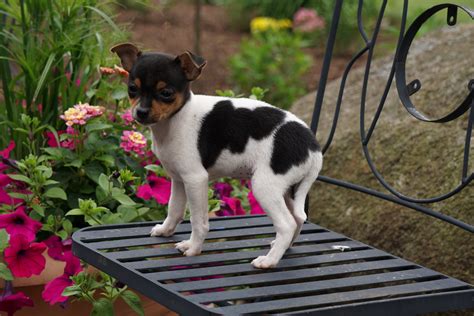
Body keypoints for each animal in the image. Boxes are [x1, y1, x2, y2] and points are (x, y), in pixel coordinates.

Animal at [112, 42, 322, 270]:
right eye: (132, 88)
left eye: (166, 92)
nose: (141, 112)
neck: (176, 119)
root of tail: (313, 146)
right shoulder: (179, 179)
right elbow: (174, 209)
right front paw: (166, 231)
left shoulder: (195, 180)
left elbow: (198, 221)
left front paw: (194, 248)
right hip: (288, 189)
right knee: (298, 218)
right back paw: (282, 248)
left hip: (265, 187)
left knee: (287, 224)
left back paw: (269, 260)